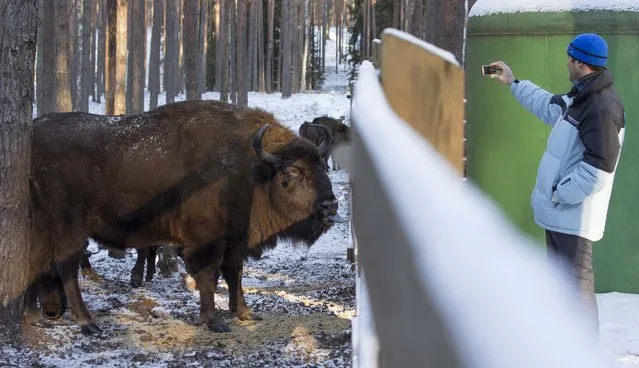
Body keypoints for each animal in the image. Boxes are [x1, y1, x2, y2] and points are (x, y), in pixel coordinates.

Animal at [26, 99, 344, 334]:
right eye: (291, 173)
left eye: (322, 166)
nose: (330, 206)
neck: (251, 169)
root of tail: (34, 132)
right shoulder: (206, 240)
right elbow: (209, 275)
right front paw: (214, 321)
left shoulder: (234, 239)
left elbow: (235, 273)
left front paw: (245, 312)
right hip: (70, 227)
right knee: (67, 266)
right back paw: (87, 323)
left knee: (38, 265)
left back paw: (40, 314)